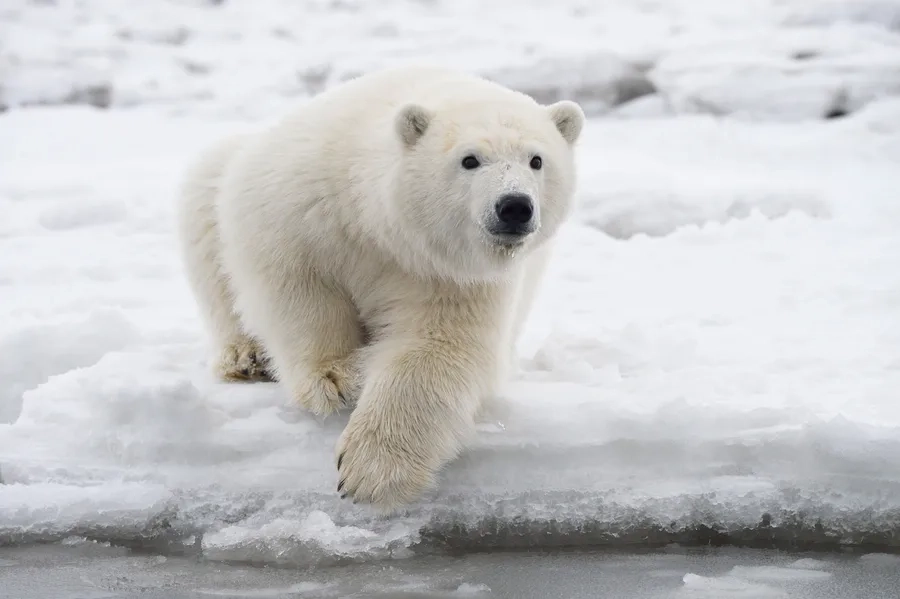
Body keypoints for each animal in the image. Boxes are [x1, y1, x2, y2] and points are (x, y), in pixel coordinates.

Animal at [176, 65, 584, 510]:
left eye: (536, 160)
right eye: (470, 159)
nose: (514, 207)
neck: (382, 228)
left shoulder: (452, 276)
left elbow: (439, 348)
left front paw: (371, 470)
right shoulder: (304, 202)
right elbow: (293, 281)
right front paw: (336, 377)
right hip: (222, 174)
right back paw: (245, 357)